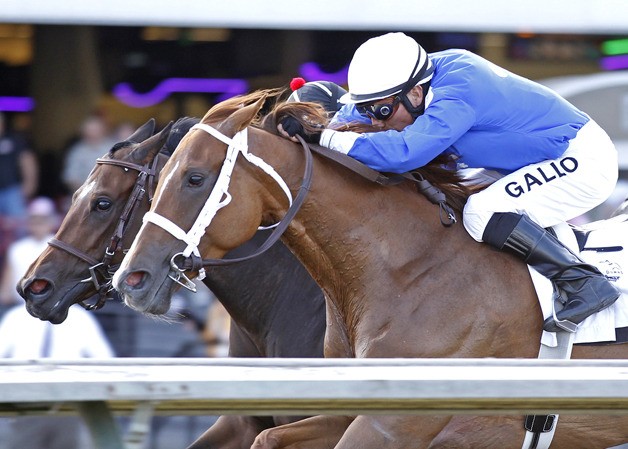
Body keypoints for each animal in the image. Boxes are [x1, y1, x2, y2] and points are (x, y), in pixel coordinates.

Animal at [113, 89, 628, 446]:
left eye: (194, 178)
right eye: (159, 181)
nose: (132, 279)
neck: (410, 270)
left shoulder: (393, 422)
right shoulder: (349, 406)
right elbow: (268, 437)